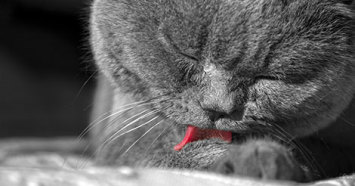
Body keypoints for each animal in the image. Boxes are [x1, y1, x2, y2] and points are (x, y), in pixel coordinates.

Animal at [88, 0, 355, 182]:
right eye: (184, 52)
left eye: (267, 76)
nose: (217, 108)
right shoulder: (126, 130)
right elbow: (157, 153)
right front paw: (248, 159)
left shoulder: (341, 146)